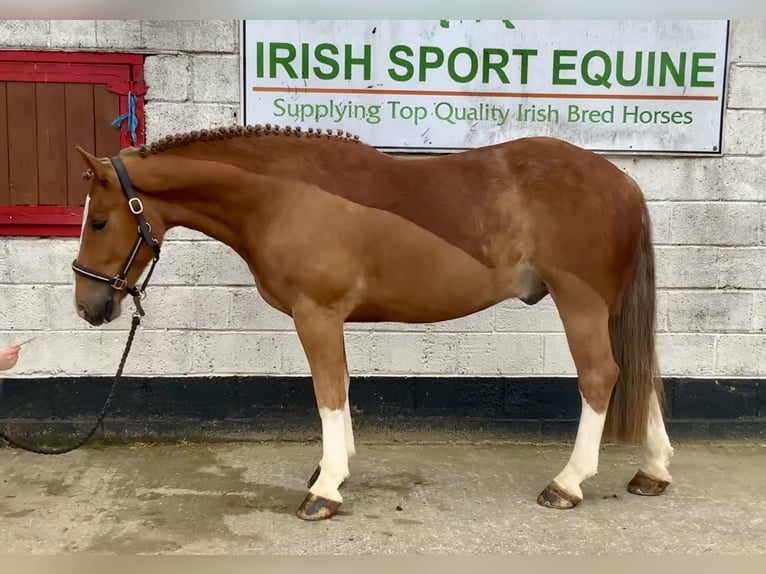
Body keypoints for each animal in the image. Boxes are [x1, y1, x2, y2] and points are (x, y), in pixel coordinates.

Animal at [71, 123, 674, 521]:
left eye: (99, 222)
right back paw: (652, 472)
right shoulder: (326, 318)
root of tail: (623, 183)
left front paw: (326, 489)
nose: (87, 306)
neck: (284, 195)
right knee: (639, 374)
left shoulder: (316, 314)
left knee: (601, 376)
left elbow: (329, 392)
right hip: (608, 308)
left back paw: (567, 484)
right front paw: (330, 470)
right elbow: (339, 388)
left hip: (581, 304)